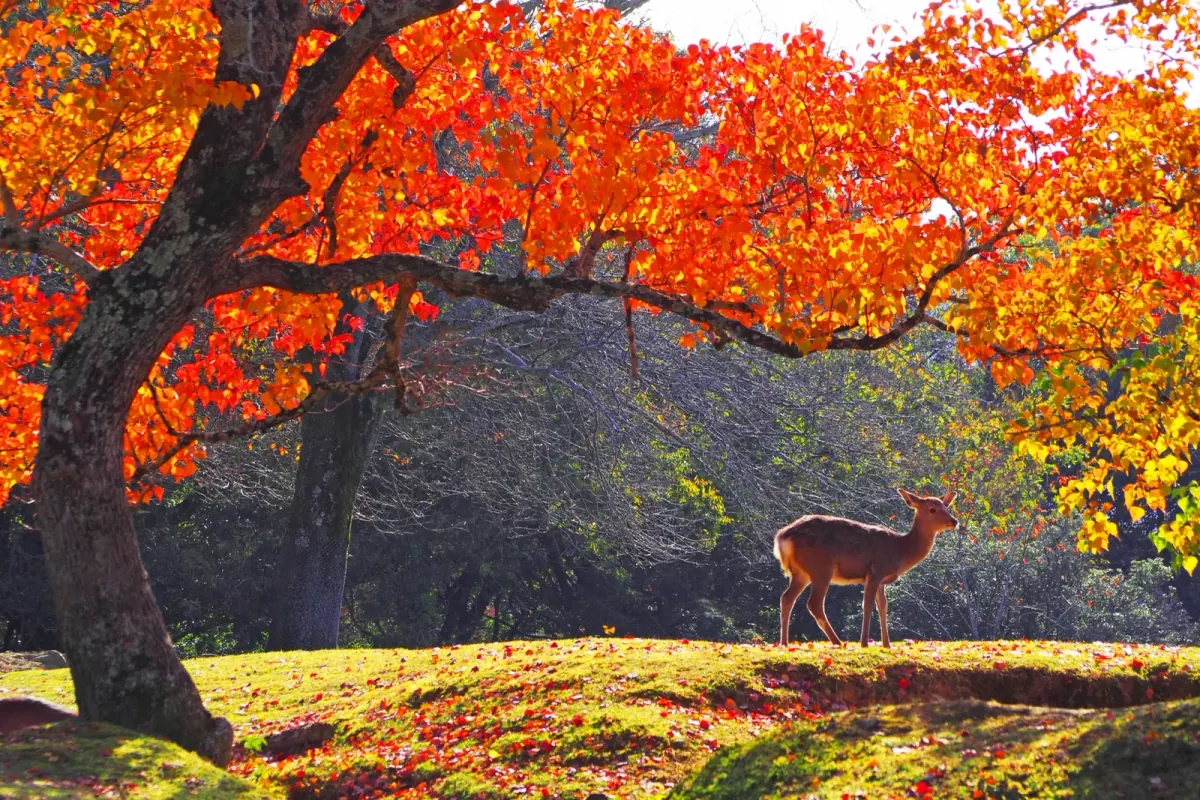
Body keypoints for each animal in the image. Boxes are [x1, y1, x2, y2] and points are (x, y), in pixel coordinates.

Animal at [774, 488, 958, 648]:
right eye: (932, 509)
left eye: (946, 506)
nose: (954, 521)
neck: (901, 550)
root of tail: (782, 537)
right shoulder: (875, 570)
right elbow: (867, 605)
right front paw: (864, 643)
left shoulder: (882, 580)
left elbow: (883, 606)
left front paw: (887, 644)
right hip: (821, 567)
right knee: (814, 603)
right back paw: (838, 642)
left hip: (801, 572)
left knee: (786, 598)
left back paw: (784, 643)